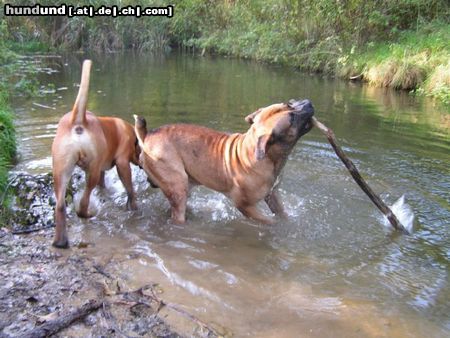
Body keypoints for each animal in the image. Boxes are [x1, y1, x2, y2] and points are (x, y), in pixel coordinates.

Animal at [51, 59, 139, 247]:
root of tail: (78, 119)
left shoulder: (103, 171)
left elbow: (103, 185)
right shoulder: (122, 163)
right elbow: (129, 188)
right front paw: (133, 206)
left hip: (61, 170)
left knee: (60, 206)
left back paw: (60, 241)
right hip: (93, 168)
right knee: (84, 201)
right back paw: (88, 214)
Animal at [134, 99, 312, 223]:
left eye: (289, 103)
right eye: (292, 118)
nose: (308, 103)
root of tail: (147, 136)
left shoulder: (273, 195)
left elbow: (282, 214)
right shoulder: (245, 206)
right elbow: (269, 222)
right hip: (177, 186)